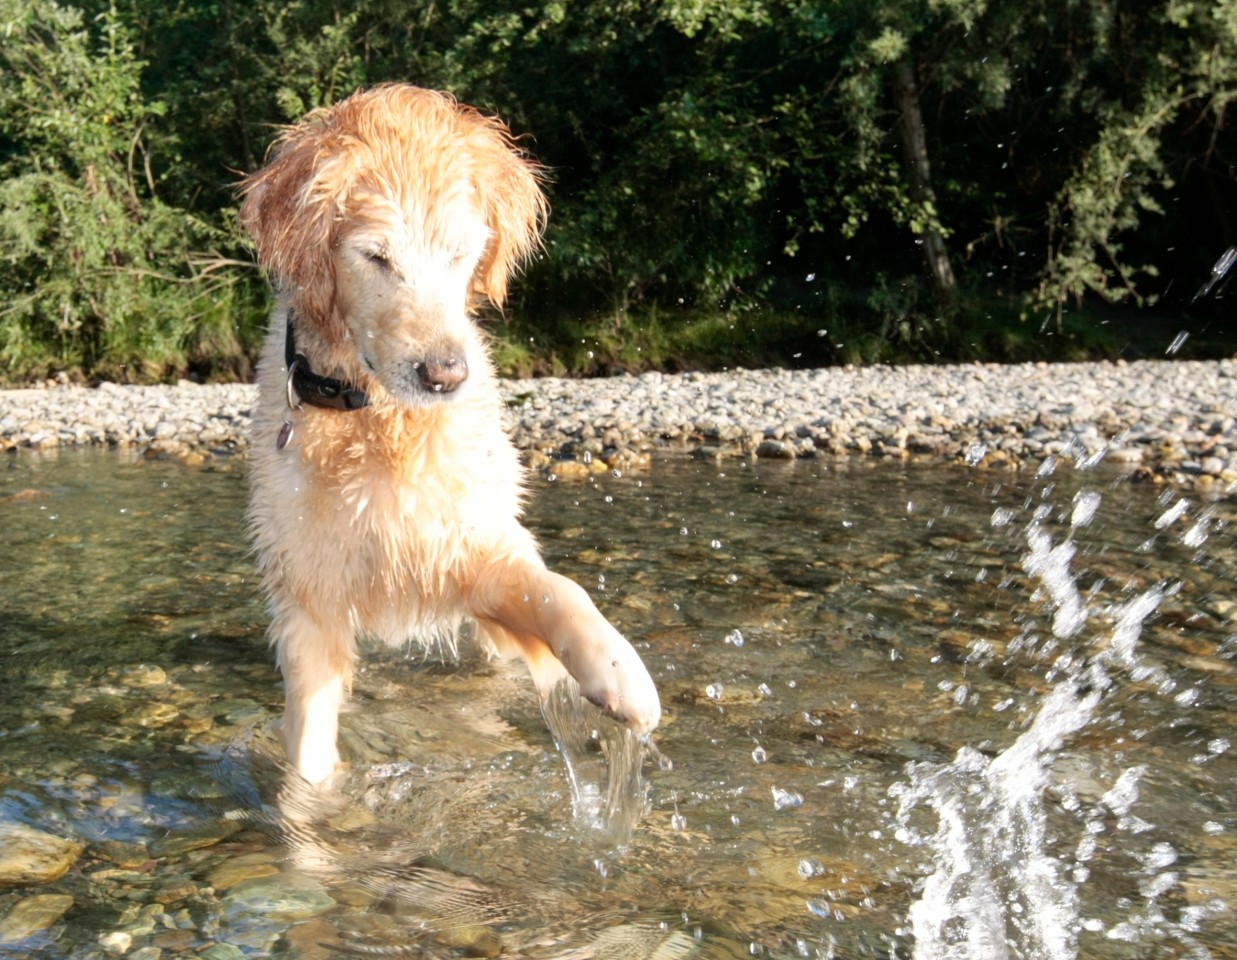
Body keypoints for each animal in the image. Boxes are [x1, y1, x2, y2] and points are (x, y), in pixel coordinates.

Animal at [238, 84, 658, 786]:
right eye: (376, 256)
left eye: (461, 252)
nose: (446, 375)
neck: (378, 421)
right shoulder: (310, 600)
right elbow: (310, 746)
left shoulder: (470, 549)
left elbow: (558, 589)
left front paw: (618, 672)